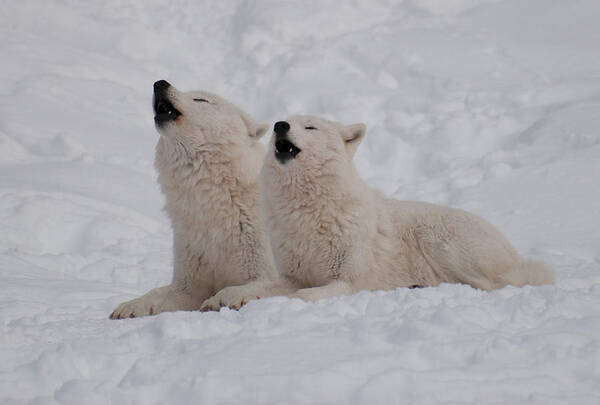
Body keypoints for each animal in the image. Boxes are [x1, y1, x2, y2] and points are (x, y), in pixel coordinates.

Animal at [110, 80, 276, 318]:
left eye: (200, 99)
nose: (160, 83)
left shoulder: (267, 266)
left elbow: (258, 285)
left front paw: (221, 299)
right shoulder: (190, 271)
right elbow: (161, 293)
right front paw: (129, 306)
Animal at [200, 114, 552, 310]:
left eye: (310, 127)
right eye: (280, 123)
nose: (279, 125)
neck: (307, 211)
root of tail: (512, 250)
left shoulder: (347, 281)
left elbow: (300, 296)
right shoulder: (293, 274)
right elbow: (250, 288)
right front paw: (222, 298)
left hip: (438, 240)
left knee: (493, 284)